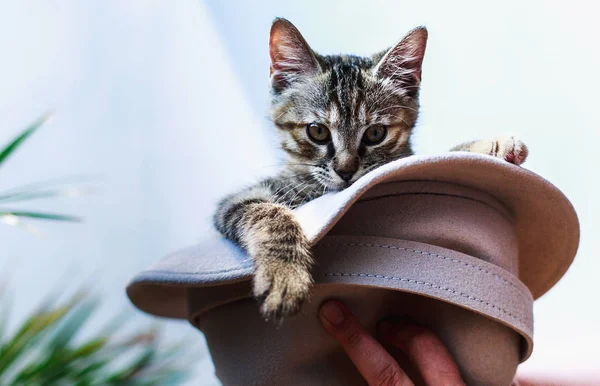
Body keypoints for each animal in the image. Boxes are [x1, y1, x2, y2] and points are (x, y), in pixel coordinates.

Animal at [213, 18, 528, 318]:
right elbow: (269, 213)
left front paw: (492, 144)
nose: (346, 170)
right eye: (317, 131)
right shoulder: (237, 201)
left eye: (375, 133)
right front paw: (285, 275)